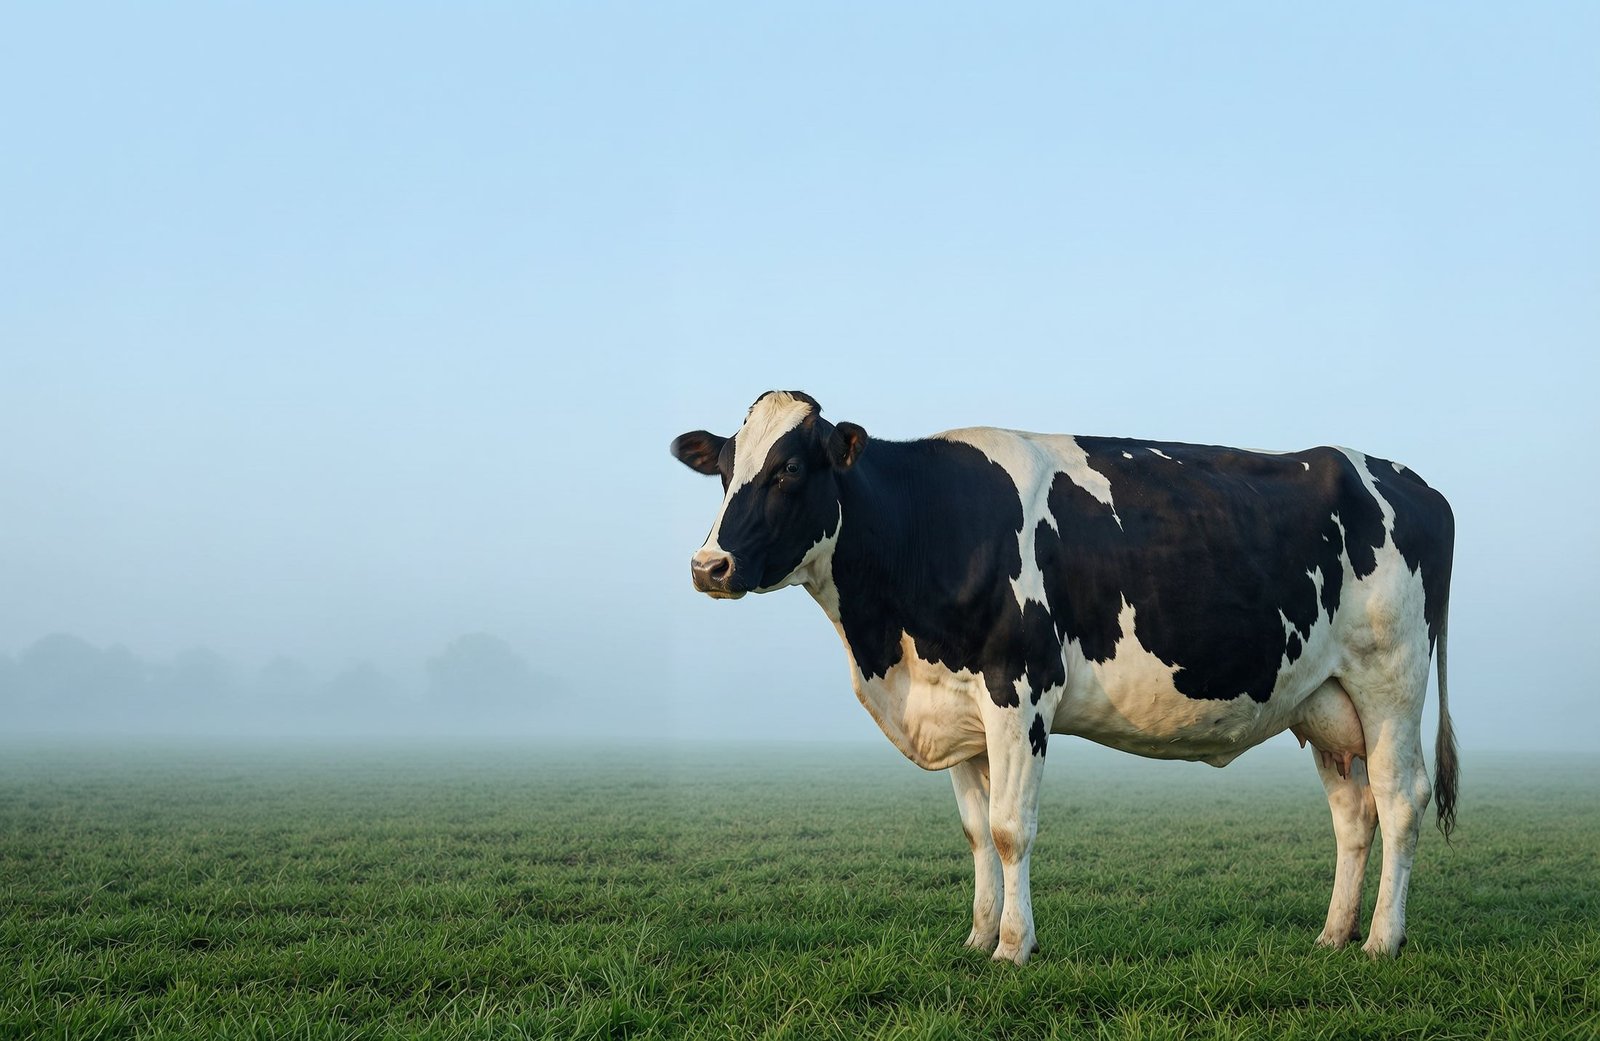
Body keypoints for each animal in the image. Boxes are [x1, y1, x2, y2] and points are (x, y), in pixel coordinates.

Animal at [671, 390, 1457, 964]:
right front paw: (977, 935)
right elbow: (975, 832)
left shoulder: (1018, 690)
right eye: (725, 470)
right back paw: (1332, 935)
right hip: (1323, 701)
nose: (709, 566)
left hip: (1390, 679)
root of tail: (1414, 482)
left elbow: (1010, 828)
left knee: (1400, 799)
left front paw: (1013, 948)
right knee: (1352, 813)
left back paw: (1382, 941)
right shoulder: (958, 706)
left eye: (789, 471)